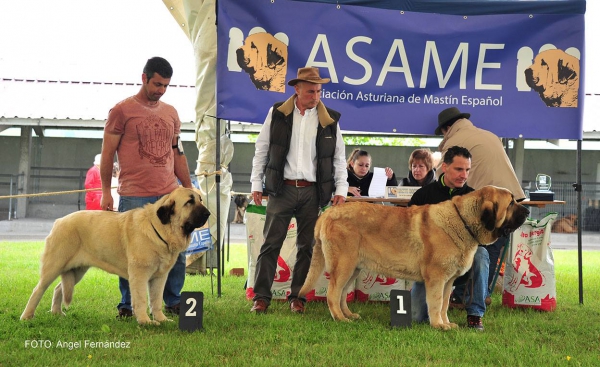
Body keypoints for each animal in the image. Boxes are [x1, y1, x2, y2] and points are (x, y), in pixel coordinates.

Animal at [20, 188, 211, 326]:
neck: (161, 229)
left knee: (59, 288)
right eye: (189, 202)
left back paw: (57, 313)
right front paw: (145, 321)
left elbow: (156, 300)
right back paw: (27, 316)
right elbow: (141, 299)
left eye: (200, 200)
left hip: (76, 270)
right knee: (38, 290)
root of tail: (59, 221)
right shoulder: (139, 276)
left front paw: (161, 319)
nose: (208, 213)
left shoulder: (159, 277)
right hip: (54, 265)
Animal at [298, 187, 528, 330]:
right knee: (333, 293)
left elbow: (445, 303)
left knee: (342, 294)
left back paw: (348, 315)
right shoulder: (436, 278)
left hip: (353, 268)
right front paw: (438, 325)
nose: (526, 210)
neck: (462, 220)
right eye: (511, 203)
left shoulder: (448, 281)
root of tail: (327, 213)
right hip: (343, 265)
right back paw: (339, 318)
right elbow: (436, 302)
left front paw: (446, 323)